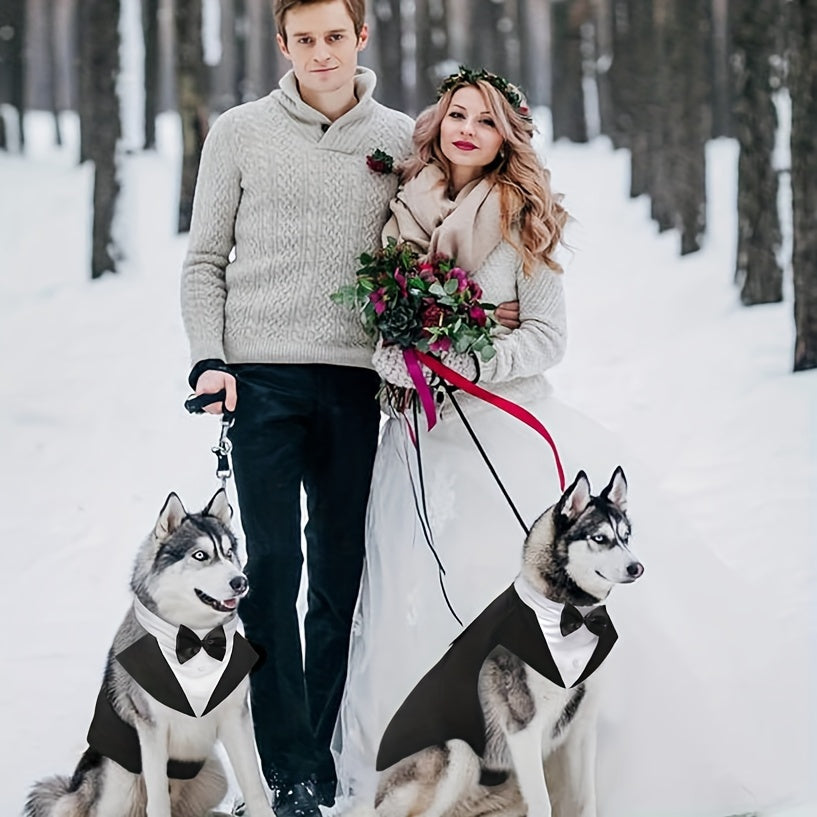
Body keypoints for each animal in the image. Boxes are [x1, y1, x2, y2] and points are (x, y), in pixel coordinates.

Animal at [24, 490, 274, 816]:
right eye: (200, 555)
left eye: (229, 552)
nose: (240, 582)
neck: (196, 639)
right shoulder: (152, 729)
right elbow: (158, 801)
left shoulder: (235, 718)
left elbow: (255, 789)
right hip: (119, 781)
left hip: (212, 775)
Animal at [366, 468, 640, 816]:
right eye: (600, 538)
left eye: (626, 536)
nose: (637, 567)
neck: (568, 616)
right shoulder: (523, 729)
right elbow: (543, 804)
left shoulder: (582, 728)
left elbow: (586, 799)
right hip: (460, 750)